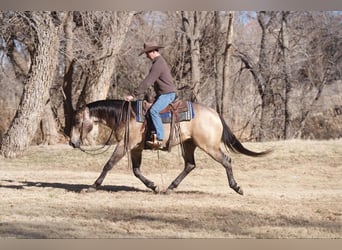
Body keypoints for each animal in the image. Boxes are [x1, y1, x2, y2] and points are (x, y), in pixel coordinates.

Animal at [69, 99, 272, 195]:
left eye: (78, 121)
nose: (72, 142)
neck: (126, 116)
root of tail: (215, 114)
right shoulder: (135, 148)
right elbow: (136, 170)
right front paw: (154, 186)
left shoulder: (124, 145)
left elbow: (109, 164)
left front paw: (92, 187)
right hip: (189, 145)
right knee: (190, 165)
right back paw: (170, 188)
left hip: (209, 146)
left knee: (226, 161)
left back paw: (236, 187)